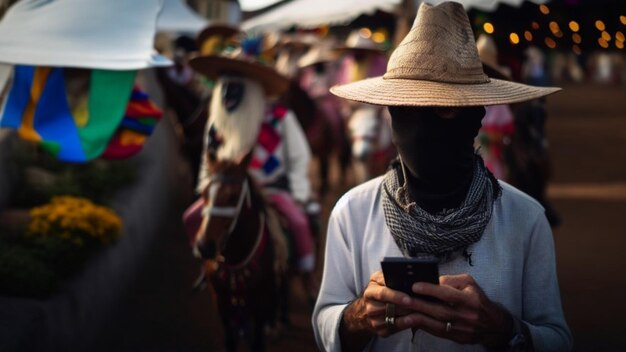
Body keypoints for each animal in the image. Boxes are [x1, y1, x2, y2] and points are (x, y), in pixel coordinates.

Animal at [194, 152, 286, 352]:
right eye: (204, 194)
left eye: (234, 197)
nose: (204, 246)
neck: (236, 258)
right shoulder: (220, 302)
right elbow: (230, 339)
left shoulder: (260, 303)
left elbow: (257, 342)